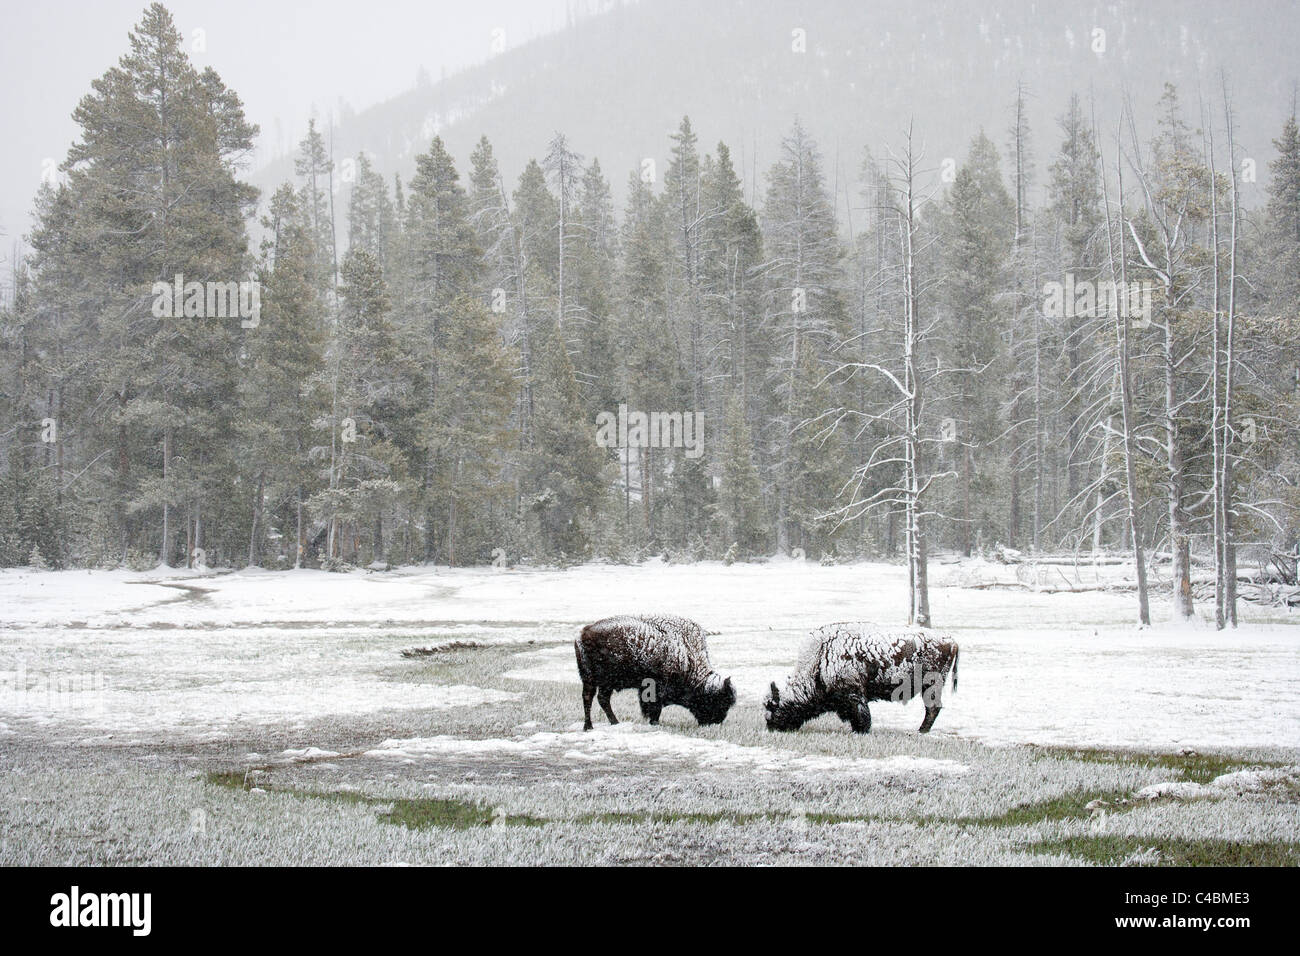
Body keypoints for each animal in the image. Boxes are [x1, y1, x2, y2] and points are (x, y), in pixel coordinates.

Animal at [577, 613, 733, 733]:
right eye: (718, 701)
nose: (716, 721)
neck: (687, 655)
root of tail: (584, 632)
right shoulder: (655, 689)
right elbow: (654, 708)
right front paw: (655, 723)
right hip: (594, 680)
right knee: (590, 698)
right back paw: (590, 726)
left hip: (601, 682)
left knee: (600, 699)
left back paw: (611, 723)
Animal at [759, 624, 956, 738]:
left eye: (774, 707)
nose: (771, 727)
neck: (821, 657)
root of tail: (951, 640)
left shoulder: (854, 695)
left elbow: (861, 714)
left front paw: (861, 730)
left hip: (930, 686)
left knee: (932, 708)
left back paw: (921, 730)